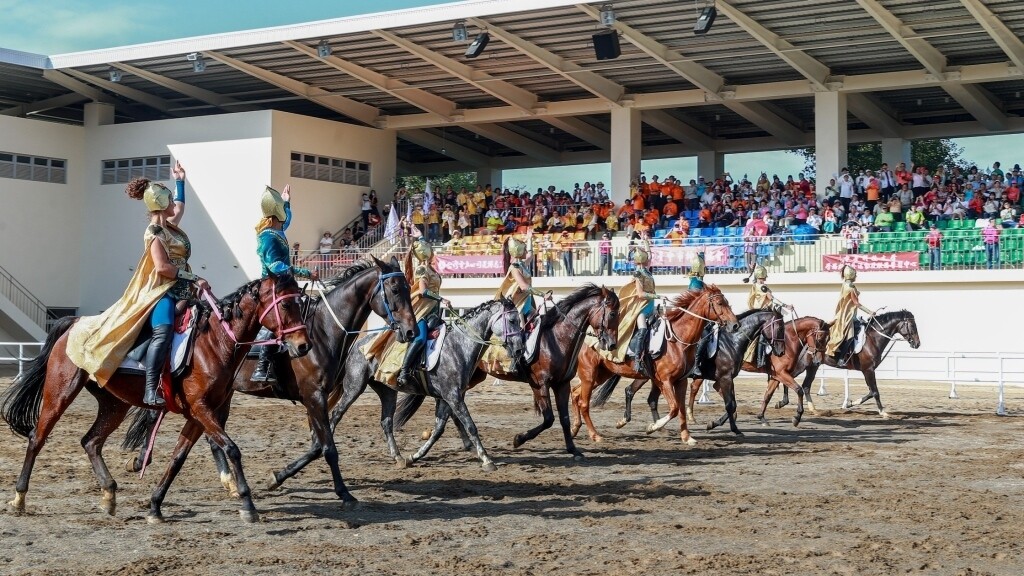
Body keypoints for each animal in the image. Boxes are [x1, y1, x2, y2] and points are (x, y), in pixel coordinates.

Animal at [0, 272, 307, 520]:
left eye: (300, 304)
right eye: (286, 304)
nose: (303, 345)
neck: (214, 342)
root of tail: (75, 321)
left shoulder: (199, 414)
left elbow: (178, 458)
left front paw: (155, 506)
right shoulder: (201, 409)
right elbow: (231, 448)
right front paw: (247, 504)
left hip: (115, 404)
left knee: (91, 441)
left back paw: (109, 494)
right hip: (60, 392)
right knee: (37, 438)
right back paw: (19, 499)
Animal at [125, 258, 417, 504]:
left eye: (407, 287)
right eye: (394, 289)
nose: (411, 331)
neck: (323, 332)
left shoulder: (316, 398)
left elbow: (317, 445)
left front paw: (278, 477)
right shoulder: (314, 396)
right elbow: (328, 448)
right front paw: (344, 493)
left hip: (220, 397)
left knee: (206, 435)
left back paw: (226, 481)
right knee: (159, 417)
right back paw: (143, 461)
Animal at [389, 284, 614, 459]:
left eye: (618, 314)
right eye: (612, 313)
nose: (610, 343)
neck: (555, 339)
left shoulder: (562, 384)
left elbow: (564, 419)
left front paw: (573, 449)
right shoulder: (539, 383)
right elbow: (549, 418)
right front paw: (519, 439)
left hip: (470, 378)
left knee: (450, 408)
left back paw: (466, 443)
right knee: (451, 407)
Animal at [573, 284, 741, 444]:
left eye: (727, 302)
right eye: (720, 303)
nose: (735, 325)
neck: (677, 341)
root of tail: (586, 334)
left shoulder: (681, 381)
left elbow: (680, 409)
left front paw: (687, 437)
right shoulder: (664, 381)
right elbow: (674, 408)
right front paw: (654, 426)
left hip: (601, 374)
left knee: (575, 393)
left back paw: (575, 428)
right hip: (589, 373)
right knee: (583, 401)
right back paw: (594, 434)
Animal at [589, 309, 786, 434]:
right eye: (780, 328)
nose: (781, 351)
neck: (731, 340)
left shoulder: (723, 380)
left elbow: (733, 405)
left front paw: (714, 424)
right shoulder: (724, 378)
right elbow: (731, 405)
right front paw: (733, 429)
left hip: (653, 378)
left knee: (643, 396)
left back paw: (656, 426)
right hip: (648, 377)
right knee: (632, 392)